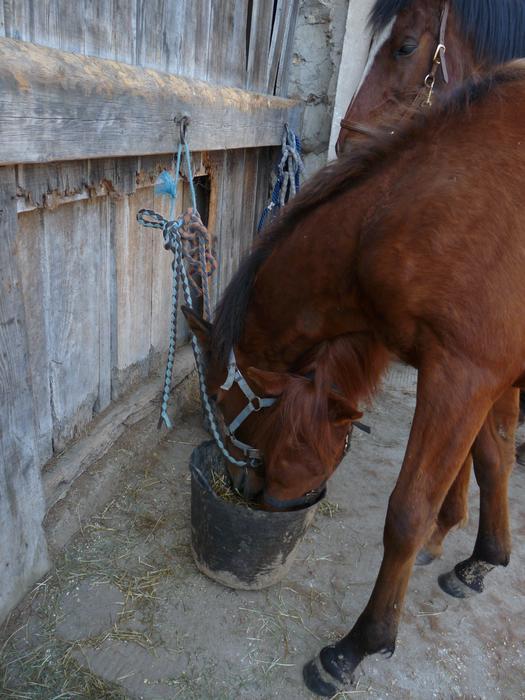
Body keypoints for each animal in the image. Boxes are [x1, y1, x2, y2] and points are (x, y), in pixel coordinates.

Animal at [184, 64, 524, 696]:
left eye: (221, 401)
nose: (246, 490)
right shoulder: (494, 379)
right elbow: (491, 461)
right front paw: (482, 559)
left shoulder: (463, 376)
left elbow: (409, 513)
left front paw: (356, 648)